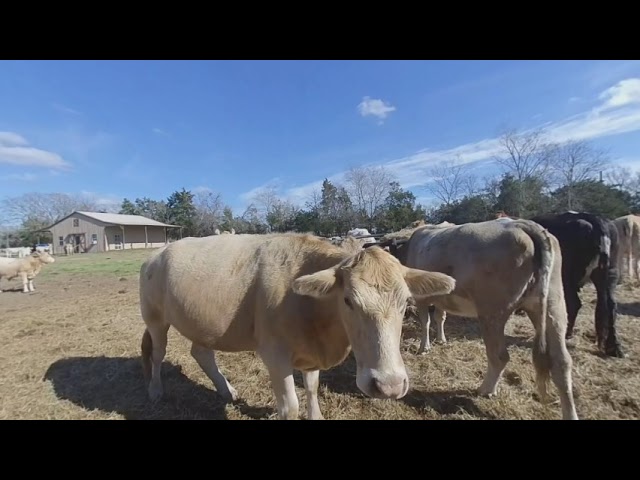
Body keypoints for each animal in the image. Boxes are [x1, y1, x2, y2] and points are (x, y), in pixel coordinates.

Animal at [139, 232, 456, 420]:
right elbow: (290, 406)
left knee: (202, 353)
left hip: (202, 322)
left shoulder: (310, 352)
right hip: (154, 318)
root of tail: (158, 252)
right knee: (157, 354)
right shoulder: (274, 354)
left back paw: (227, 391)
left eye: (405, 302)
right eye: (348, 300)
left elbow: (313, 389)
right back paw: (154, 391)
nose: (389, 385)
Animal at [528, 212, 624, 358]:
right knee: (611, 305)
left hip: (568, 277)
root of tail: (594, 219)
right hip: (610, 273)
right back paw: (614, 347)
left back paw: (565, 333)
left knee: (574, 303)